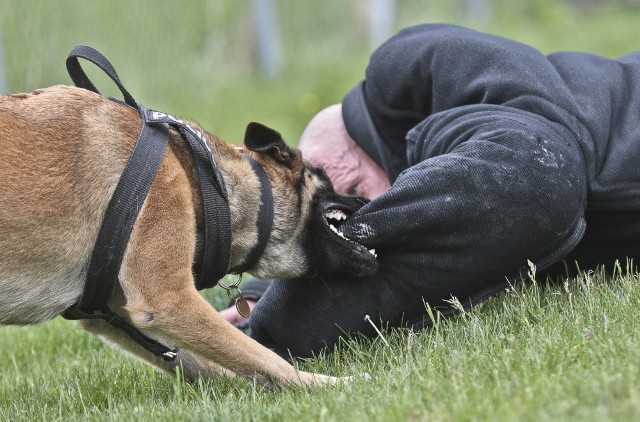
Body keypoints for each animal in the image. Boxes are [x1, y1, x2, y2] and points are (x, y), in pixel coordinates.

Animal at [0, 83, 378, 390]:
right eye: (325, 177)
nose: (367, 201)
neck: (208, 180)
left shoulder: (116, 311)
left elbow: (216, 360)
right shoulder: (168, 298)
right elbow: (264, 356)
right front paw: (327, 384)